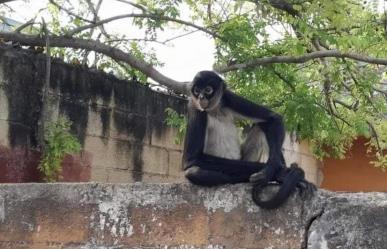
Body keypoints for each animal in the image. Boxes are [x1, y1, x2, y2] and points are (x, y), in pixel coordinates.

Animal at [183, 71, 314, 209]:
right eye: (197, 91)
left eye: (208, 90)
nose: (201, 97)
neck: (215, 109)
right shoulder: (194, 106)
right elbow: (192, 159)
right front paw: (279, 172)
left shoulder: (228, 98)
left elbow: (274, 118)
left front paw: (271, 170)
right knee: (193, 172)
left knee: (261, 126)